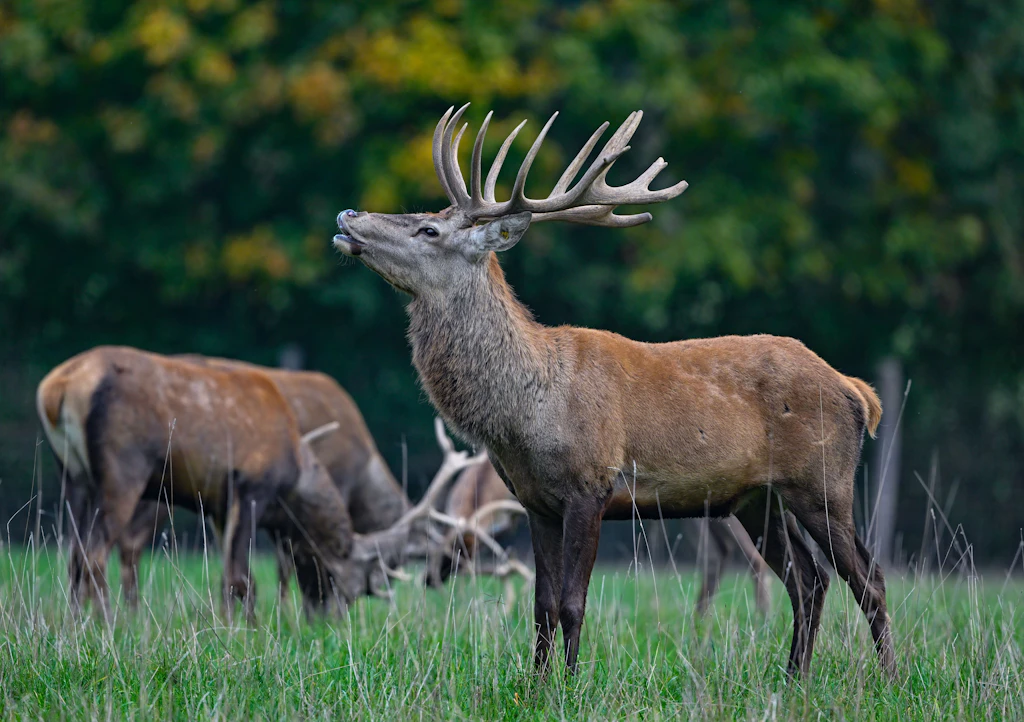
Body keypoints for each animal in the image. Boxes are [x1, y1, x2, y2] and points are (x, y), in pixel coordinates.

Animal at [330, 104, 896, 679]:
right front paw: (537, 684)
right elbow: (541, 607)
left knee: (867, 577)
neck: (527, 410)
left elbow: (571, 604)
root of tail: (857, 392)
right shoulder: (535, 502)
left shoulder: (592, 484)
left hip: (823, 482)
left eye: (429, 228)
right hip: (757, 499)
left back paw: (887, 678)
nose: (347, 215)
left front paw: (570, 685)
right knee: (809, 580)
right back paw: (792, 678)